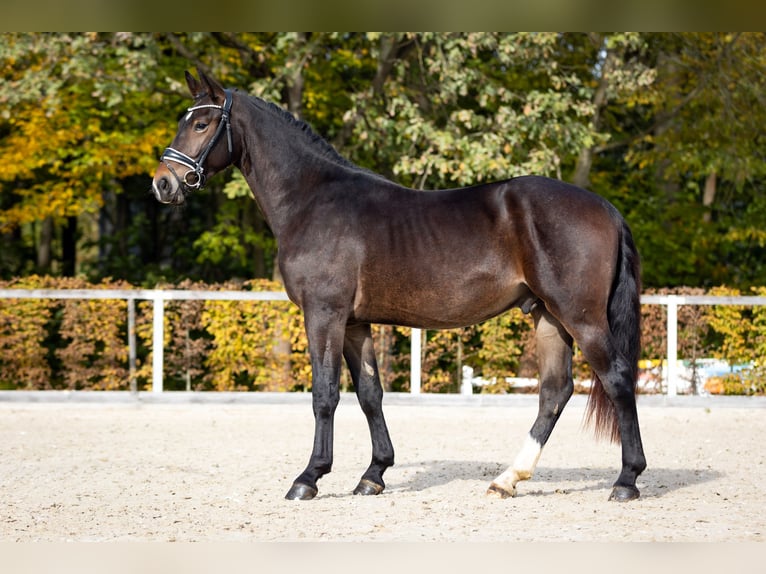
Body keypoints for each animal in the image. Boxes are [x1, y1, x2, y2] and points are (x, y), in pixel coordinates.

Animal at [152, 68, 648, 504]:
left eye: (201, 123)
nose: (163, 184)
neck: (312, 199)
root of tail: (606, 208)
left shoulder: (324, 313)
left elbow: (324, 394)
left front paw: (309, 477)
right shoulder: (354, 323)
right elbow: (370, 395)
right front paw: (374, 474)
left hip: (580, 317)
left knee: (617, 378)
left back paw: (626, 480)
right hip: (547, 316)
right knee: (554, 392)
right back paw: (508, 479)